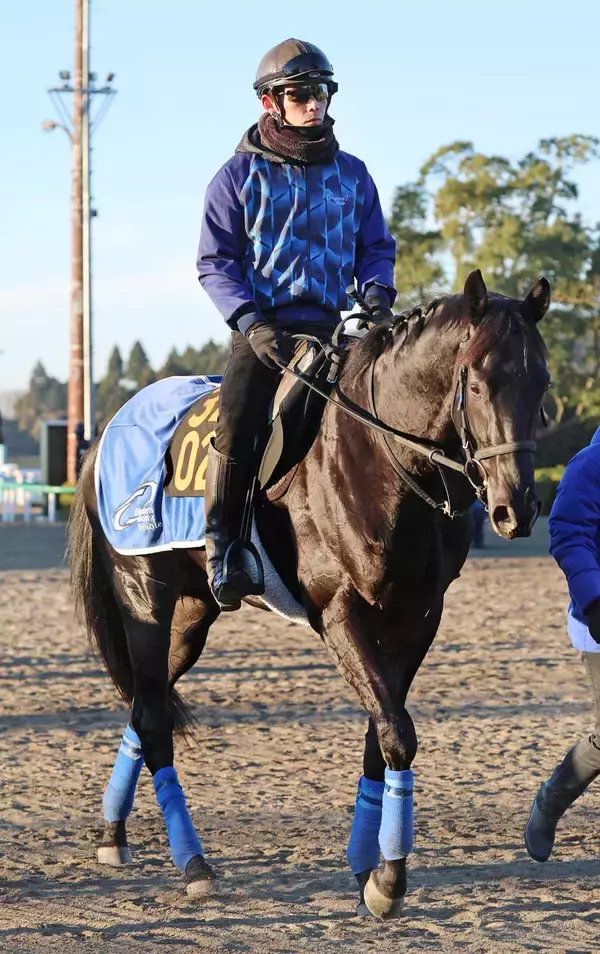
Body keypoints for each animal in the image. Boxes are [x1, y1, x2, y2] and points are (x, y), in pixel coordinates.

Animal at [69, 269, 551, 917]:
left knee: (148, 706)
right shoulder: (341, 615)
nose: (515, 508)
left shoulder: (418, 620)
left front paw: (369, 867)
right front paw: (389, 881)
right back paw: (193, 863)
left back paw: (114, 833)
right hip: (143, 596)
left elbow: (381, 734)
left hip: (192, 615)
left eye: (541, 380)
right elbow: (397, 733)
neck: (381, 457)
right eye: (476, 382)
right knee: (152, 718)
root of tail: (104, 436)